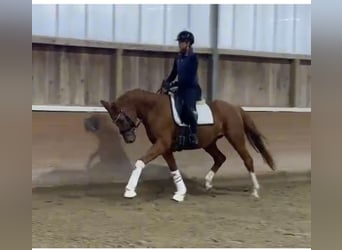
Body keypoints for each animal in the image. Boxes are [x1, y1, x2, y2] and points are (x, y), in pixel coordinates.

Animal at [99, 89, 276, 202]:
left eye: (121, 119)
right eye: (115, 121)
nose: (129, 139)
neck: (154, 109)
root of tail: (235, 107)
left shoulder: (162, 143)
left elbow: (140, 162)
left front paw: (129, 190)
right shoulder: (164, 147)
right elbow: (173, 168)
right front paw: (180, 193)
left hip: (235, 137)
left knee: (247, 159)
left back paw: (254, 191)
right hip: (209, 143)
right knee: (220, 158)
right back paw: (208, 183)